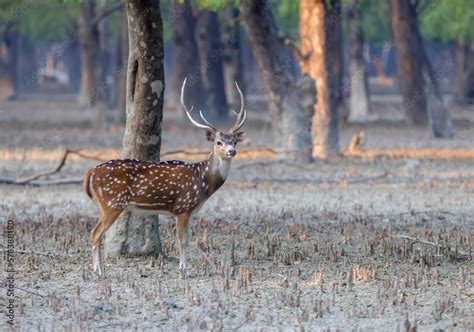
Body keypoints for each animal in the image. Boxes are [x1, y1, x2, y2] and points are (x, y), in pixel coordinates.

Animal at [83, 78, 246, 278]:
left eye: (234, 141)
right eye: (219, 142)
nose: (232, 151)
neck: (203, 182)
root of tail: (91, 172)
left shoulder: (188, 211)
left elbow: (187, 239)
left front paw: (184, 269)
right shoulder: (183, 206)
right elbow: (182, 240)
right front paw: (184, 271)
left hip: (106, 205)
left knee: (96, 233)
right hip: (112, 203)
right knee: (95, 233)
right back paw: (99, 271)